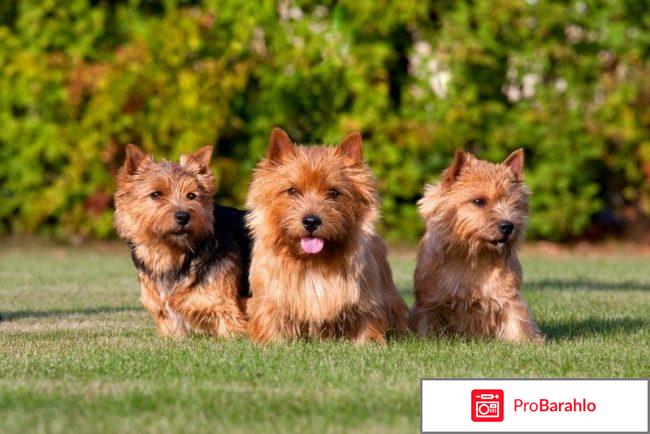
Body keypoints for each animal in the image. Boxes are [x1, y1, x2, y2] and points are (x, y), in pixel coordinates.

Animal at [114, 144, 251, 338]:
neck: (172, 254)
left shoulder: (227, 309)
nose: (183, 216)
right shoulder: (165, 315)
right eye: (156, 194)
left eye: (191, 195)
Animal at [243, 127, 404, 344]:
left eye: (334, 192)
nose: (311, 221)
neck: (313, 262)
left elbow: (367, 324)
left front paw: (366, 344)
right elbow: (271, 323)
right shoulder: (267, 302)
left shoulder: (368, 302)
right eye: (292, 190)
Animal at [410, 149, 540, 342]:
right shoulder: (429, 302)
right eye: (479, 201)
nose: (508, 226)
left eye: (515, 204)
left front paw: (525, 342)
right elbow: (426, 325)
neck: (473, 258)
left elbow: (517, 322)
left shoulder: (509, 297)